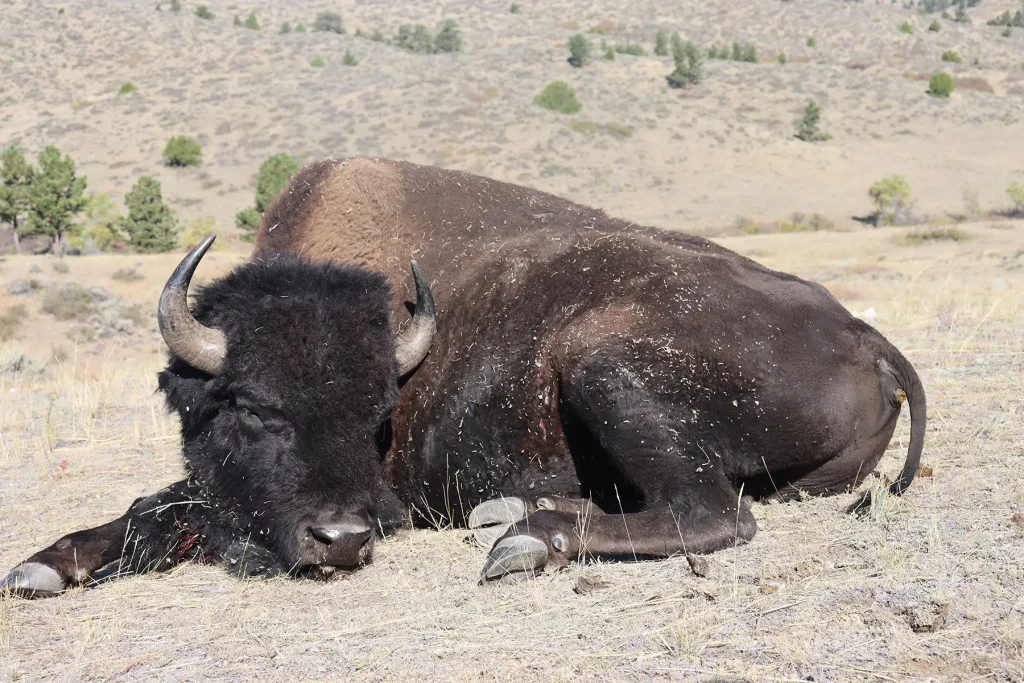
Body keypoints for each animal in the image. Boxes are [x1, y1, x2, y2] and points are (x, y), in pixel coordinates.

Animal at [2, 157, 925, 596]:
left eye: (378, 408)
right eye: (254, 408)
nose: (341, 539)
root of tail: (866, 333)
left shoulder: (390, 497)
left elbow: (174, 510)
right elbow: (153, 504)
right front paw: (43, 566)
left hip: (601, 361)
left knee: (711, 512)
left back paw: (524, 538)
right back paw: (508, 510)